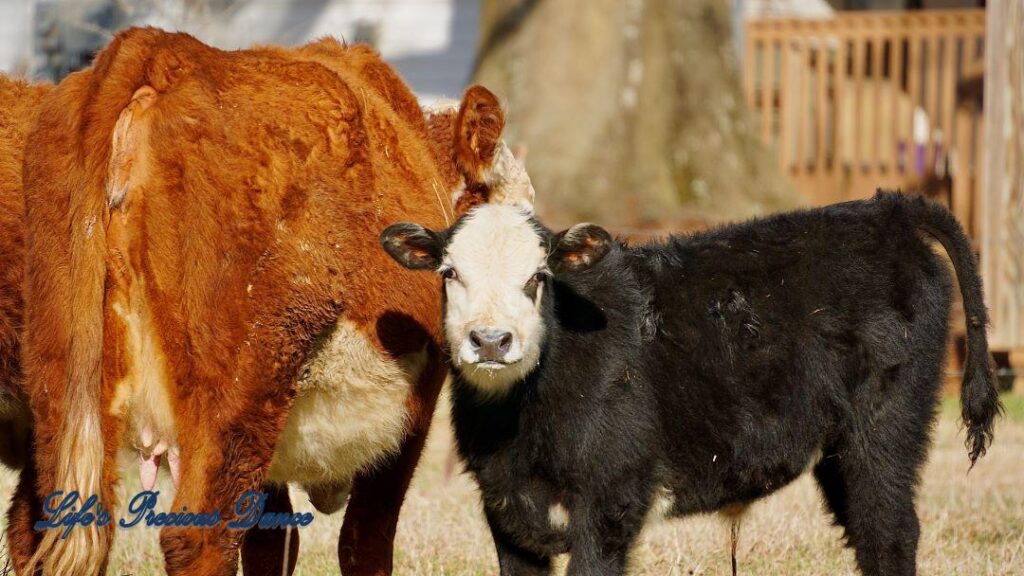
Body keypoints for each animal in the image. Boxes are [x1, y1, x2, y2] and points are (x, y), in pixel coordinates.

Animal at [18, 29, 536, 573]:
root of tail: (164, 52)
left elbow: (273, 541)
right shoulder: (417, 397)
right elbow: (366, 539)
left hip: (63, 395)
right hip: (241, 391)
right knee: (201, 534)